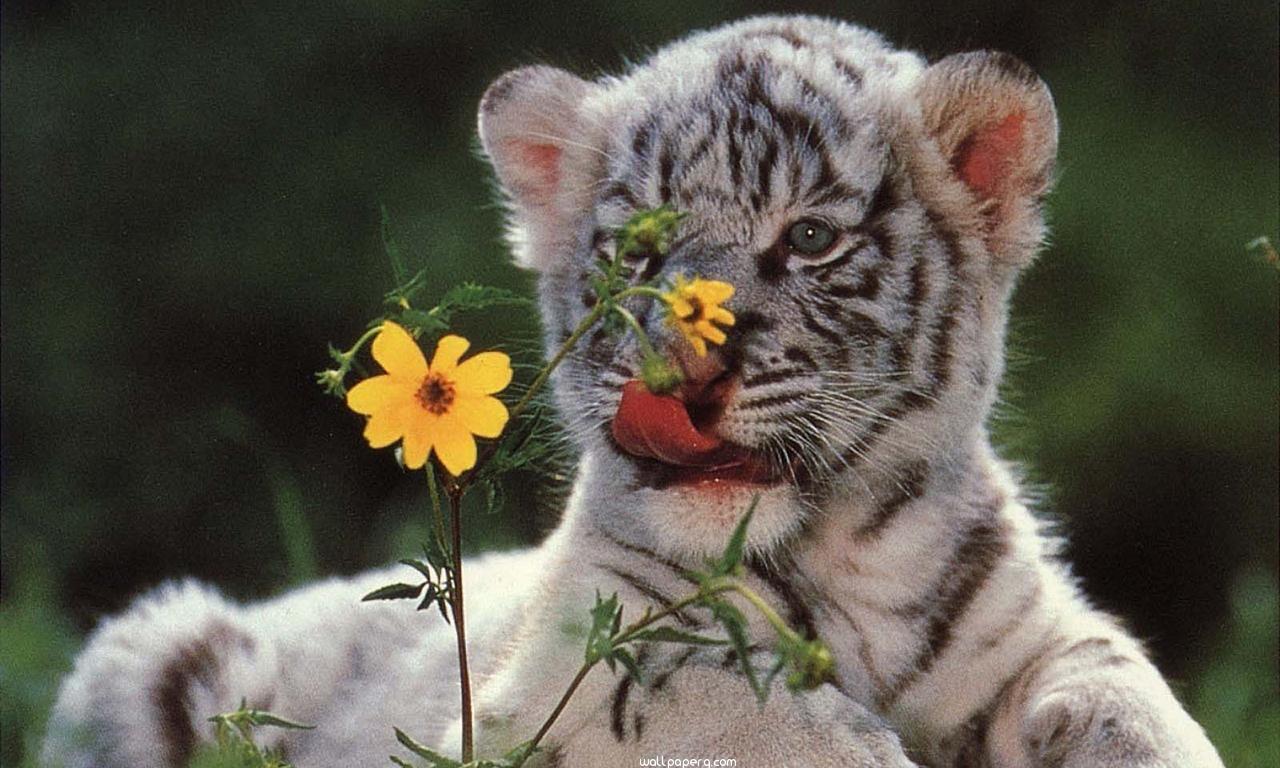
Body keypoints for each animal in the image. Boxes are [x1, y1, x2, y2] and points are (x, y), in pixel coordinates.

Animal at [44, 15, 1225, 768]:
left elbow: (1133, 696)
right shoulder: (570, 666)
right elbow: (729, 705)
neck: (850, 558)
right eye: (636, 256)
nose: (681, 377)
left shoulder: (1035, 631)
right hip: (149, 645)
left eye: (808, 240)